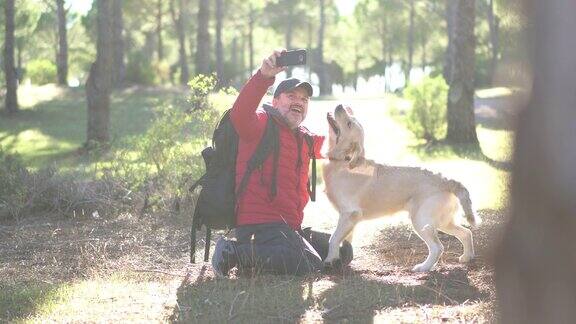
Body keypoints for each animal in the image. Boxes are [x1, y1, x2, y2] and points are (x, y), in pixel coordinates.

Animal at [324, 104, 482, 270]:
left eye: (349, 123)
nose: (340, 106)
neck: (344, 161)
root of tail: (447, 180)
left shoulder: (349, 213)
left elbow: (334, 238)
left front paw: (330, 259)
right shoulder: (350, 219)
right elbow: (345, 240)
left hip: (421, 220)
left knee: (438, 247)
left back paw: (423, 267)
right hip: (444, 222)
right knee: (466, 233)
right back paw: (467, 257)